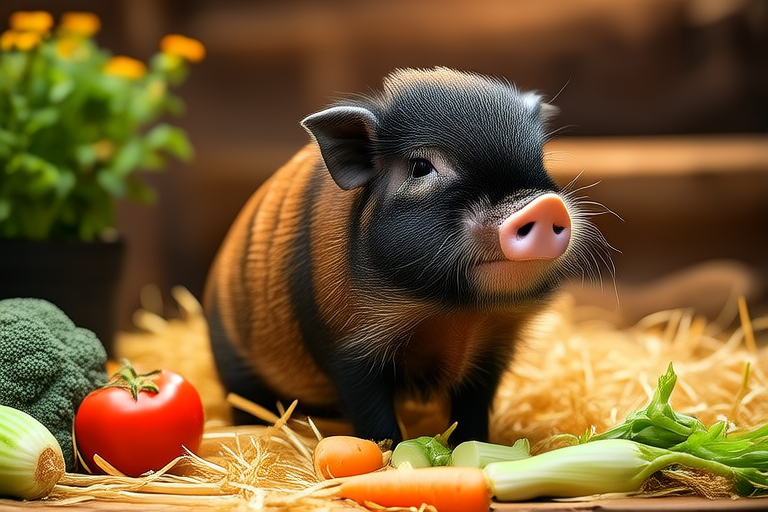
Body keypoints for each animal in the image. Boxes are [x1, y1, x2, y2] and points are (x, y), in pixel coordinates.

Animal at [204, 67, 611, 443]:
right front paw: (390, 453)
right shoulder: (347, 348)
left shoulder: (493, 348)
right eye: (420, 167)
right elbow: (372, 411)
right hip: (231, 359)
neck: (456, 311)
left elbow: (473, 407)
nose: (543, 205)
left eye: (539, 158)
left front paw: (474, 444)